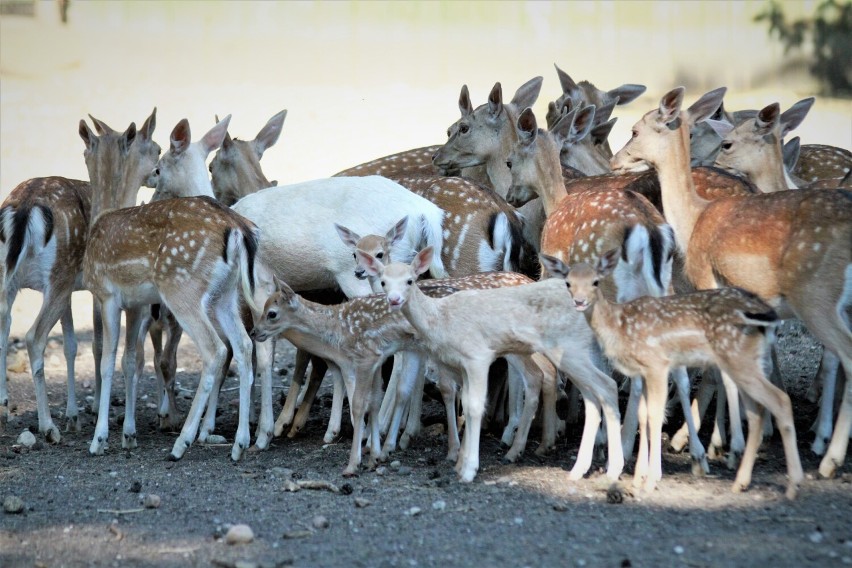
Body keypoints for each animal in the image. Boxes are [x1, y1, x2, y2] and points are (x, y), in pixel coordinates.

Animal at [612, 89, 852, 480]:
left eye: (634, 130)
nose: (615, 160)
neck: (692, 219)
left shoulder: (709, 284)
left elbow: (720, 370)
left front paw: (725, 446)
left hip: (816, 296)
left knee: (844, 354)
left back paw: (828, 457)